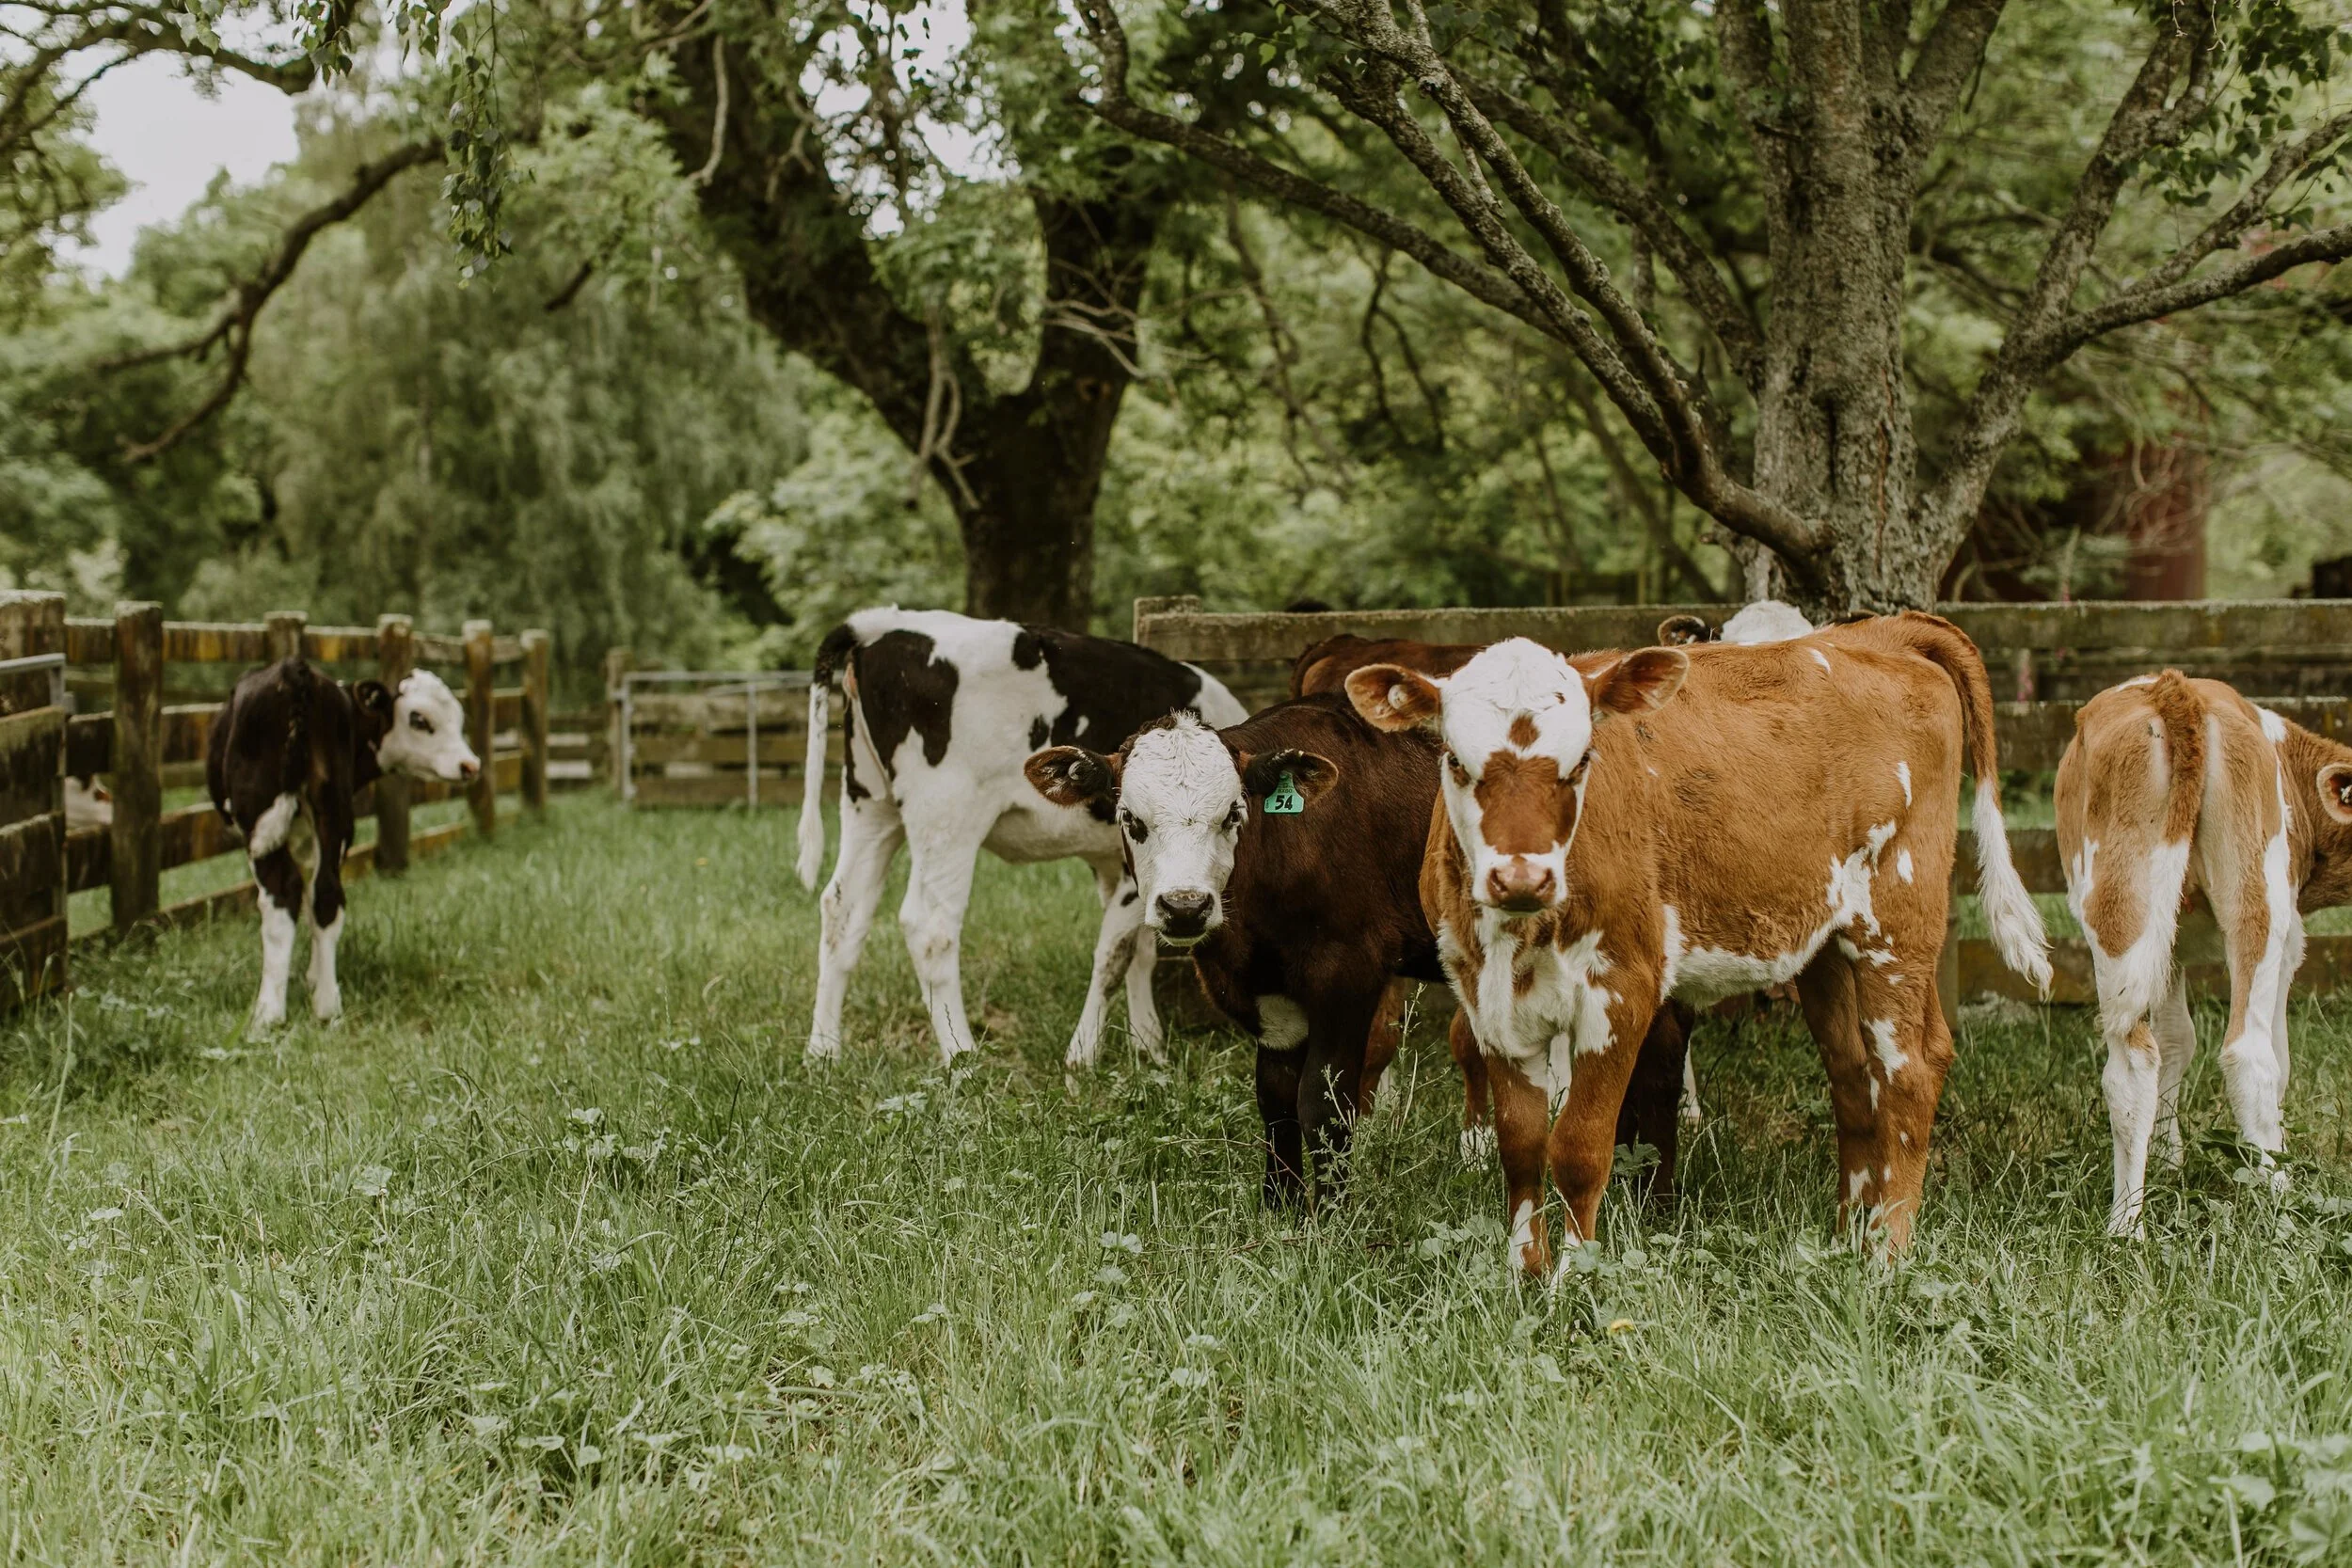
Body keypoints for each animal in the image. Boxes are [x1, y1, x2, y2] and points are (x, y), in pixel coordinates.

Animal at [207, 658, 478, 1035]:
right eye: (419, 720)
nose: (470, 765)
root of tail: (297, 672)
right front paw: (314, 977)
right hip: (334, 812)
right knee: (327, 895)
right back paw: (326, 1004)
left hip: (263, 820)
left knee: (282, 898)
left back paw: (268, 1013)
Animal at [796, 608, 1247, 1067]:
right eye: (1136, 819)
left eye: (1227, 815)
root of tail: (882, 623)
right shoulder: (1129, 866)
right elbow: (1116, 954)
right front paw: (1084, 1057)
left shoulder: (1120, 868)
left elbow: (1141, 951)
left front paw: (1149, 1047)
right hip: (947, 815)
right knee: (929, 927)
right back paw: (962, 1057)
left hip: (870, 805)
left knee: (842, 910)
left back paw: (823, 1052)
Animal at [1025, 694, 1692, 1209]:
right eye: (1130, 819)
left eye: (1233, 814)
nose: (1185, 906)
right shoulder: (1273, 997)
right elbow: (1275, 1098)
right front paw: (1281, 1205)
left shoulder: (1347, 975)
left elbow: (1322, 1103)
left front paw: (1330, 1215)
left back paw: (1654, 1198)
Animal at [1344, 613, 2051, 1274]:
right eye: (1456, 762)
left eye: (1581, 762)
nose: (1522, 876)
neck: (1519, 937)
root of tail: (1880, 632)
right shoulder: (1485, 998)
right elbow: (1520, 1146)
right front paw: (1524, 1274)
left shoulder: (1621, 991)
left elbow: (1578, 1148)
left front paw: (1574, 1277)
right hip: (1826, 944)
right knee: (1854, 1076)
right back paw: (1847, 1235)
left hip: (1897, 924)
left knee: (1909, 1070)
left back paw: (1888, 1252)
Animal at [2056, 671, 2352, 1236]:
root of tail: (2174, 688)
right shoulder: (2289, 945)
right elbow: (2278, 1058)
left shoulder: (2168, 953)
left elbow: (2177, 1039)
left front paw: (2167, 1159)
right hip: (2258, 908)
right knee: (2248, 1054)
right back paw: (2282, 1206)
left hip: (2121, 912)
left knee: (2131, 1065)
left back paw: (2126, 1224)